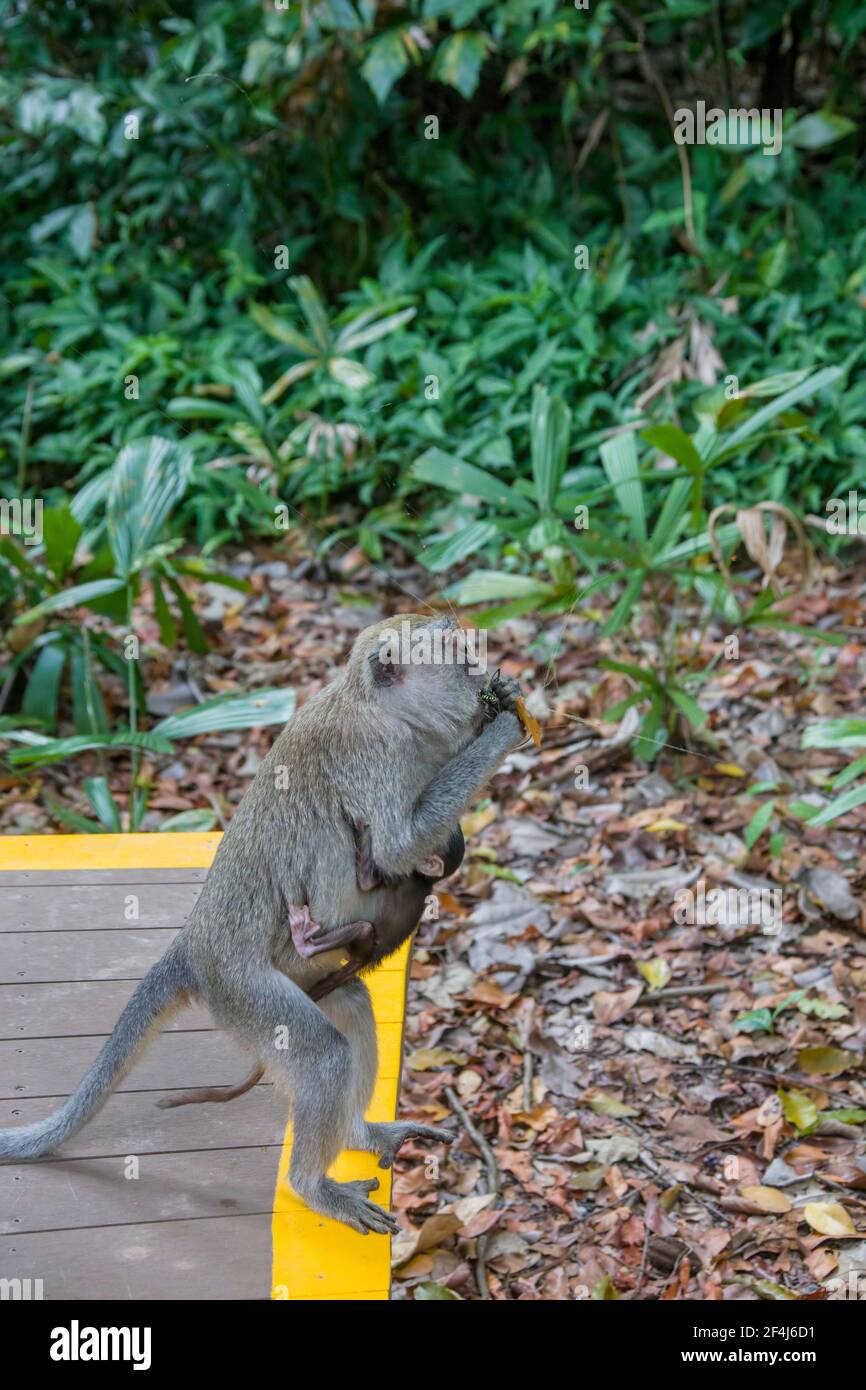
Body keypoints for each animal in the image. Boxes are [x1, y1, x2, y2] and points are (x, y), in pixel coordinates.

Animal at [0, 619, 522, 1239]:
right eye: (459, 660)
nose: (482, 677)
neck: (378, 707)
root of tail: (194, 946)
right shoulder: (376, 754)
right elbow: (397, 847)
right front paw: (506, 729)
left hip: (291, 981)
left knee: (349, 1002)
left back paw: (357, 1133)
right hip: (241, 992)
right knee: (323, 1054)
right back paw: (312, 1186)